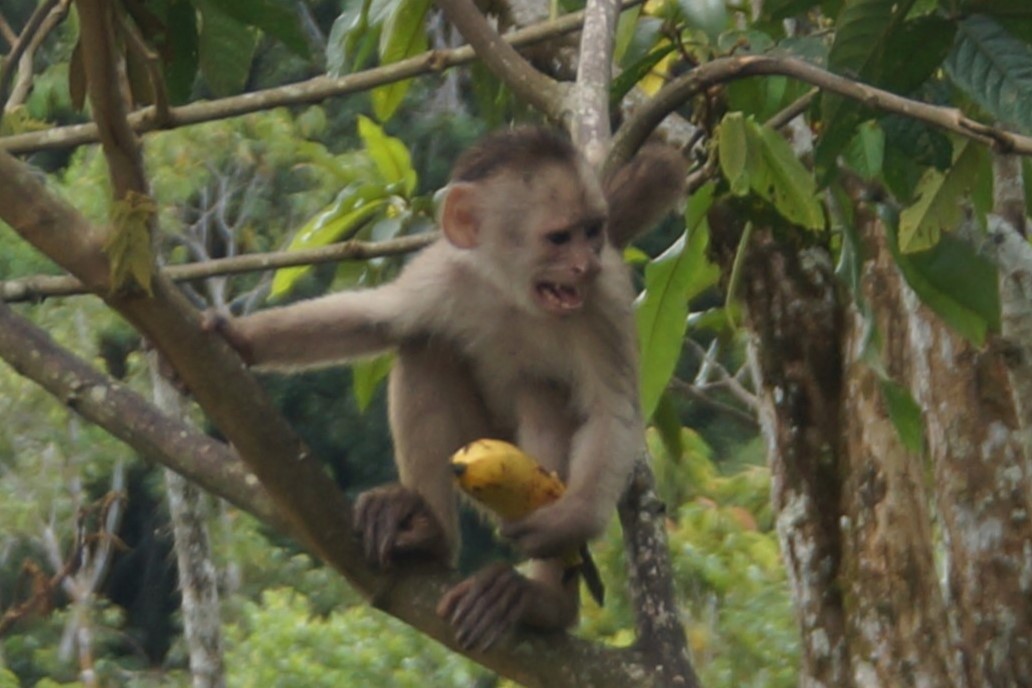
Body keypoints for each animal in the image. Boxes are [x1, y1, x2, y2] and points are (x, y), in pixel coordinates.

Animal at [208, 127, 686, 650]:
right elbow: (379, 319)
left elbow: (612, 412)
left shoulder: (606, 299)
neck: (513, 295)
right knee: (424, 348)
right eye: (560, 238)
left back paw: (544, 602)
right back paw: (429, 534)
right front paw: (240, 339)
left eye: (593, 231)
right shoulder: (444, 271)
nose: (584, 265)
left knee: (541, 394)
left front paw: (572, 518)